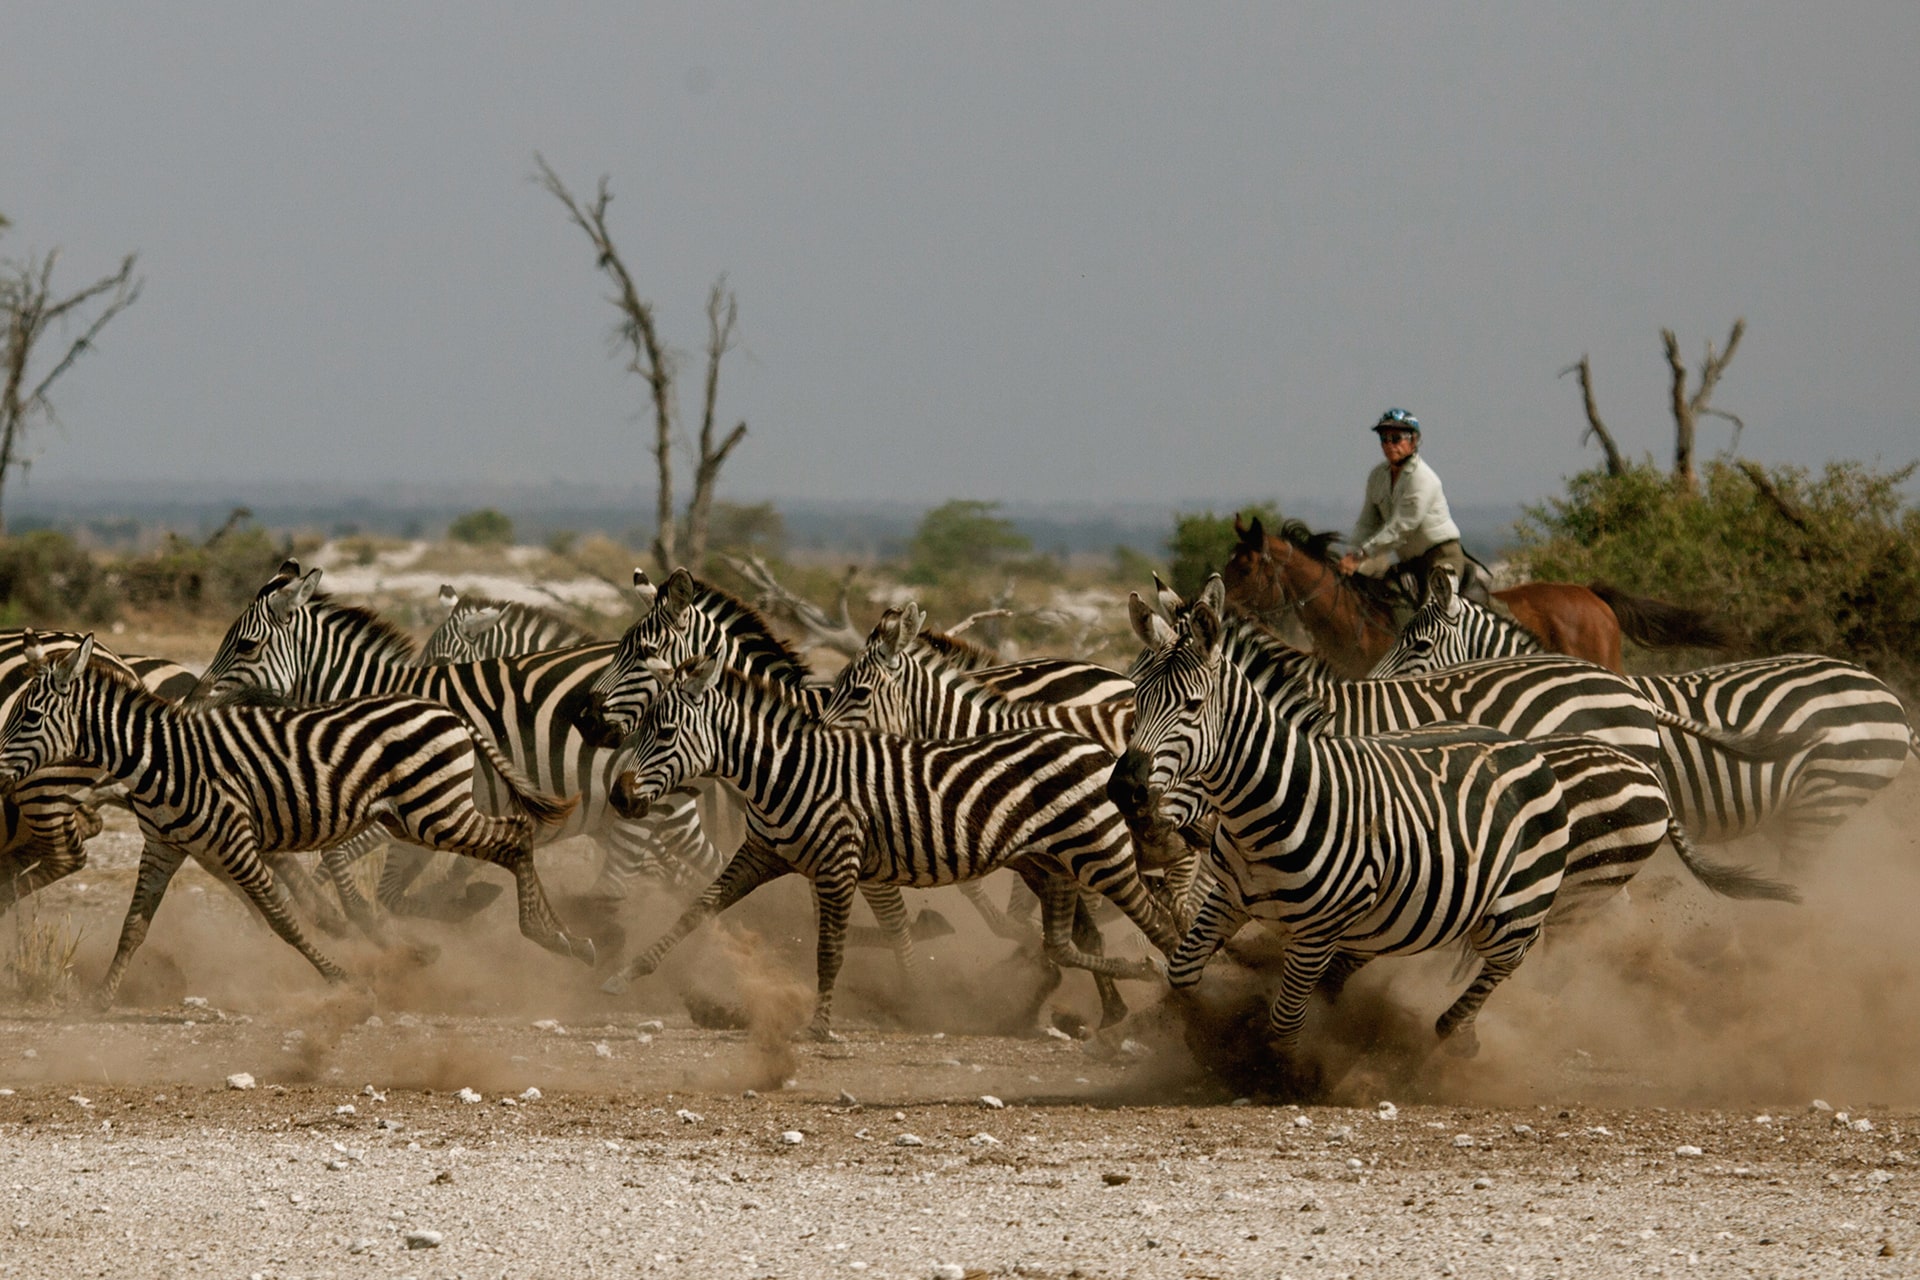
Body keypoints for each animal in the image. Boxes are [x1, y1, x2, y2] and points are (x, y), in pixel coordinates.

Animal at [0, 629, 591, 997]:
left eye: (28, 716)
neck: (161, 761)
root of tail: (447, 711)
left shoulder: (233, 842)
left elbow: (281, 918)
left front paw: (343, 980)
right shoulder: (164, 846)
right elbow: (133, 926)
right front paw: (101, 998)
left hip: (434, 811)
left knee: (514, 836)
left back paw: (555, 937)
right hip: (415, 815)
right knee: (515, 835)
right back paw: (562, 938)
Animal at [599, 652, 1175, 1043]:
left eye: (664, 732)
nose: (619, 797)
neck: (779, 774)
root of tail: (1092, 744)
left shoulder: (837, 863)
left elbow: (830, 950)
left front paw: (820, 1027)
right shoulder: (762, 854)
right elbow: (696, 909)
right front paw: (626, 973)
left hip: (1101, 853)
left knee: (1157, 920)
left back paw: (1171, 992)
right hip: (1047, 862)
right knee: (1062, 942)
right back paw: (1133, 988)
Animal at [1113, 575, 1574, 1090]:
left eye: (1192, 706)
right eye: (1138, 699)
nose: (1125, 790)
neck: (1269, 807)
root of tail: (1519, 744)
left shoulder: (1317, 932)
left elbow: (1284, 1021)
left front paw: (1287, 1076)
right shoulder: (1228, 899)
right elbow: (1182, 973)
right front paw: (1207, 1040)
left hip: (1514, 913)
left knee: (1500, 969)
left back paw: (1452, 1040)